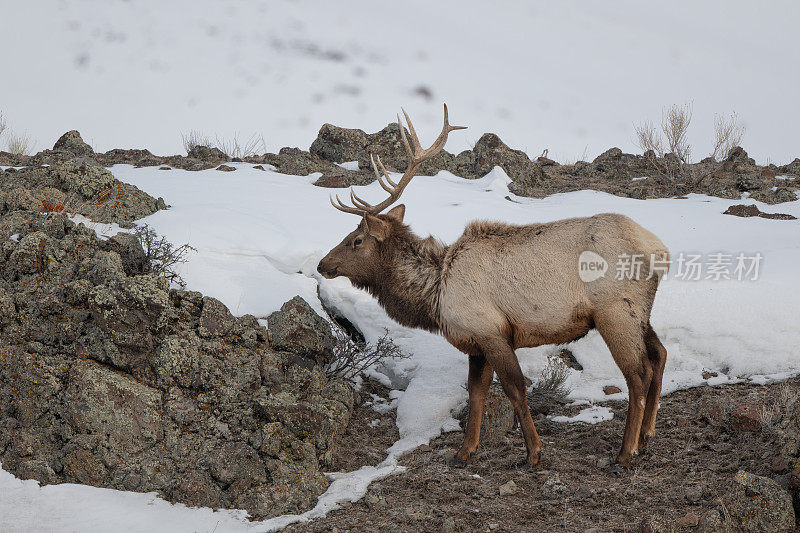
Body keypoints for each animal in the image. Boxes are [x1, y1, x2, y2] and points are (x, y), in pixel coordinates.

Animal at [318, 105, 668, 470]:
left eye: (356, 240)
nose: (322, 264)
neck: (434, 295)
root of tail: (660, 251)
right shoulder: (475, 343)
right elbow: (476, 393)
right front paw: (464, 451)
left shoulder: (492, 331)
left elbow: (515, 388)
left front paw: (533, 452)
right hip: (639, 313)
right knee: (660, 354)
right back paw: (646, 436)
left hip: (615, 312)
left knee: (638, 374)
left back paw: (626, 452)